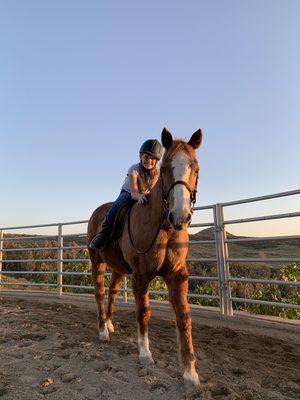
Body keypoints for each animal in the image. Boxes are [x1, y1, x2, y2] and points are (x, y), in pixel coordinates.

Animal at [88, 127, 203, 388]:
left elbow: (184, 316)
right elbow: (143, 312)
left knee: (112, 292)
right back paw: (102, 330)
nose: (179, 217)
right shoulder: (140, 275)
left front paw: (190, 372)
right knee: (100, 293)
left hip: (118, 268)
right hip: (97, 262)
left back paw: (109, 323)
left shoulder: (177, 275)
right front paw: (145, 354)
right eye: (165, 168)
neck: (163, 229)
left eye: (196, 168)